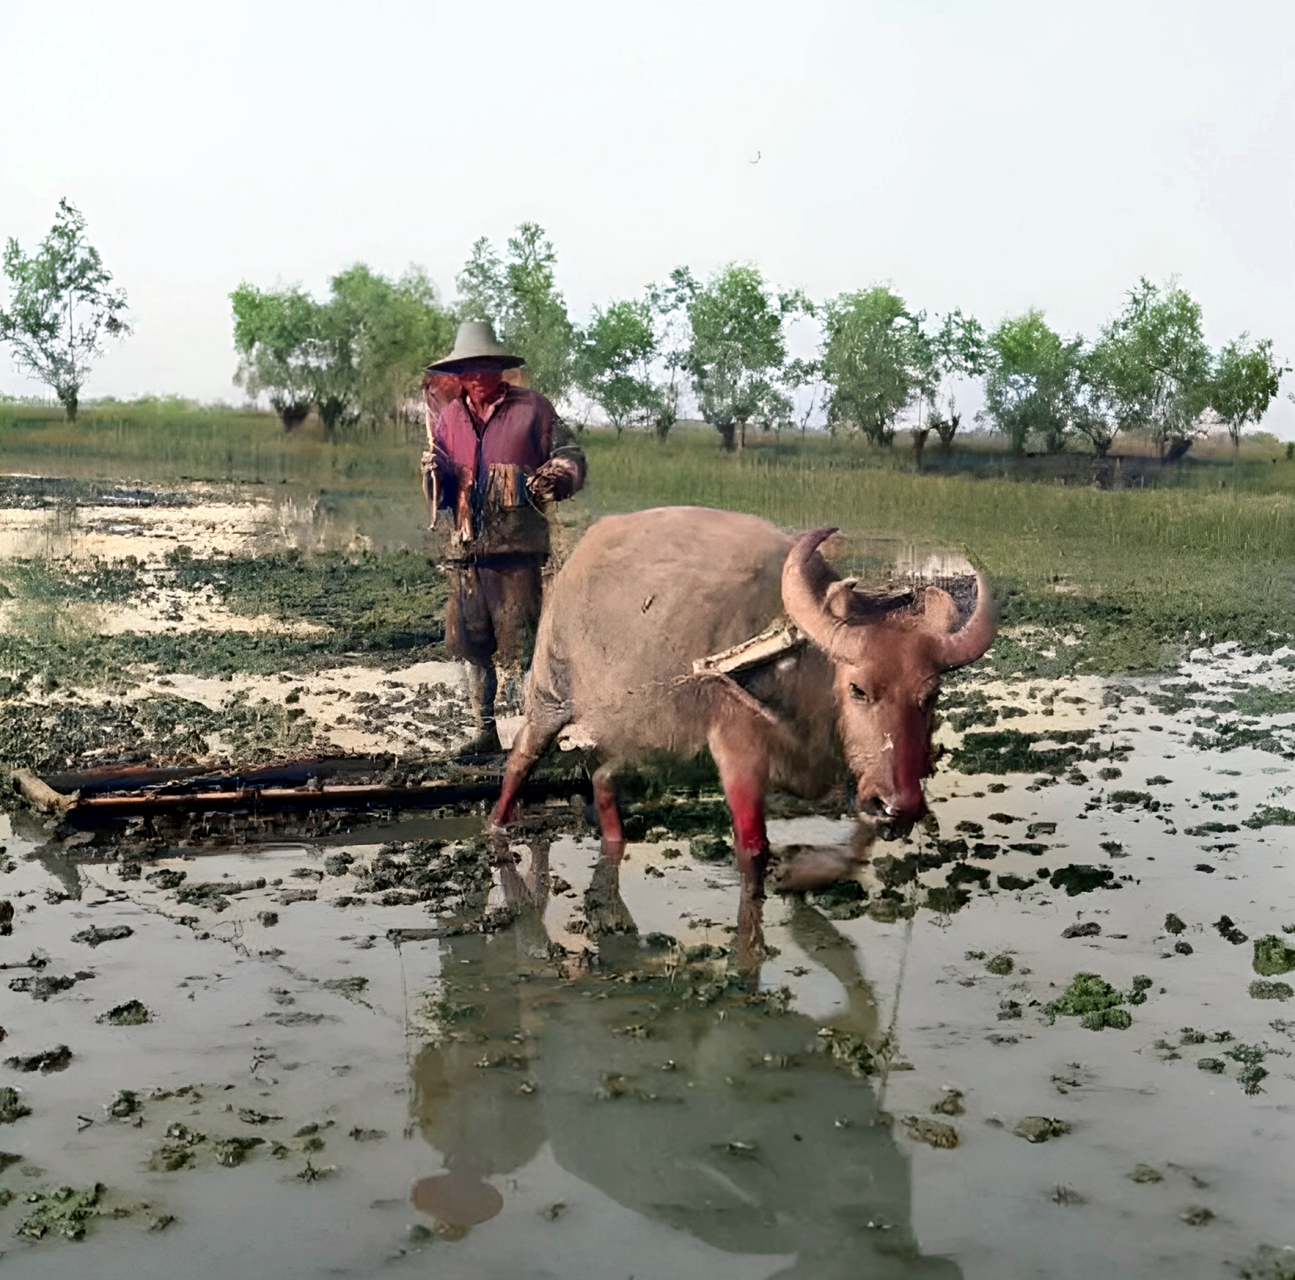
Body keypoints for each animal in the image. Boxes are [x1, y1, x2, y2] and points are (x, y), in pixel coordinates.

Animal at [489, 505, 994, 886]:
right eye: (858, 689)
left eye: (930, 695)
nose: (901, 806)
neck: (803, 672)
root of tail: (577, 560)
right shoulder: (739, 750)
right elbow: (753, 848)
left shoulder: (857, 779)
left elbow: (857, 843)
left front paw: (808, 874)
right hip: (549, 698)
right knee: (520, 760)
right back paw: (497, 824)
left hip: (633, 732)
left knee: (603, 779)